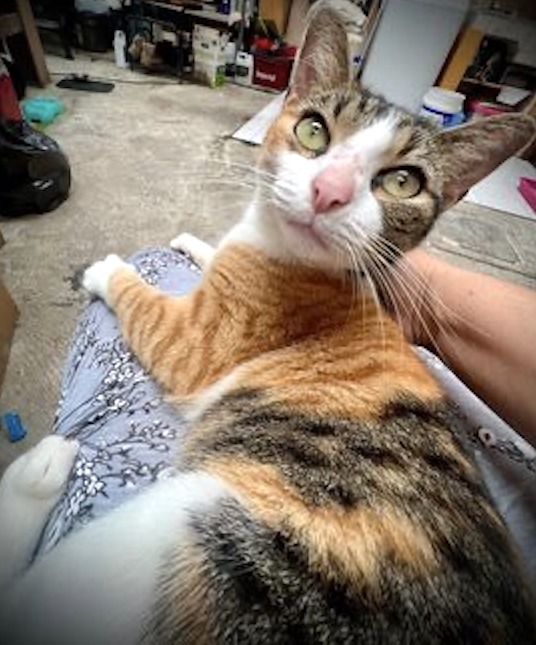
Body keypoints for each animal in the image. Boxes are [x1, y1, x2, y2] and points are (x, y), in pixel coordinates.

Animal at [1, 6, 536, 644]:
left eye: (402, 182)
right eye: (313, 131)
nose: (329, 191)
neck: (291, 255)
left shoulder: (195, 342)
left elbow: (153, 309)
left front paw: (111, 270)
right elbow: (211, 255)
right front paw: (193, 244)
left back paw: (40, 469)